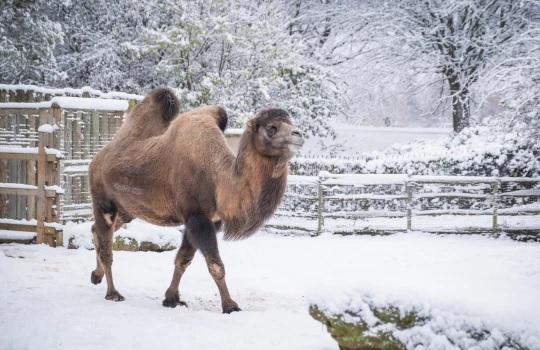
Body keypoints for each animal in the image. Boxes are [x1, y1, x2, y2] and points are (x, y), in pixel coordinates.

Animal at [90, 88, 306, 314]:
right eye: (271, 128)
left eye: (290, 122)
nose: (299, 135)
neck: (219, 179)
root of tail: (98, 157)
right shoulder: (196, 216)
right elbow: (215, 264)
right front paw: (230, 306)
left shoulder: (210, 220)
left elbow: (183, 259)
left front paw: (172, 299)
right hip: (103, 199)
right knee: (106, 246)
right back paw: (113, 293)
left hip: (127, 210)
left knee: (97, 230)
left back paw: (96, 276)